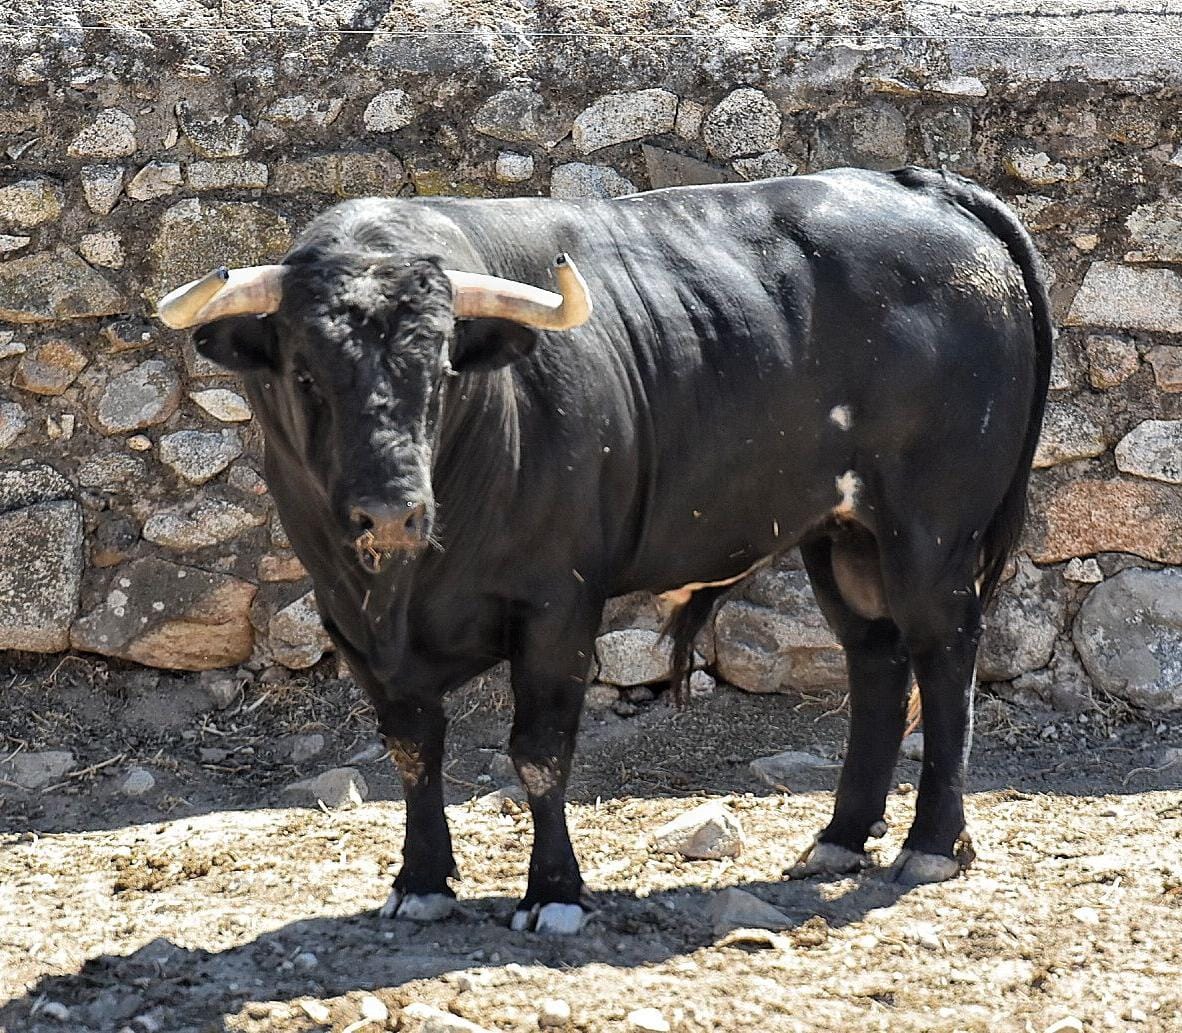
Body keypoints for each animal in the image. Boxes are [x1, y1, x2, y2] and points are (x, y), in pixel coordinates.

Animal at [157, 166, 1051, 935]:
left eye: (444, 369)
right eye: (306, 375)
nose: (392, 513)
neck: (403, 593)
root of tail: (923, 187)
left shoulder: (558, 605)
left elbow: (539, 751)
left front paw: (553, 891)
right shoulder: (348, 618)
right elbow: (413, 748)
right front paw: (420, 881)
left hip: (930, 529)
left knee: (945, 656)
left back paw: (930, 844)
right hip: (842, 536)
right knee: (875, 660)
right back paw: (840, 835)